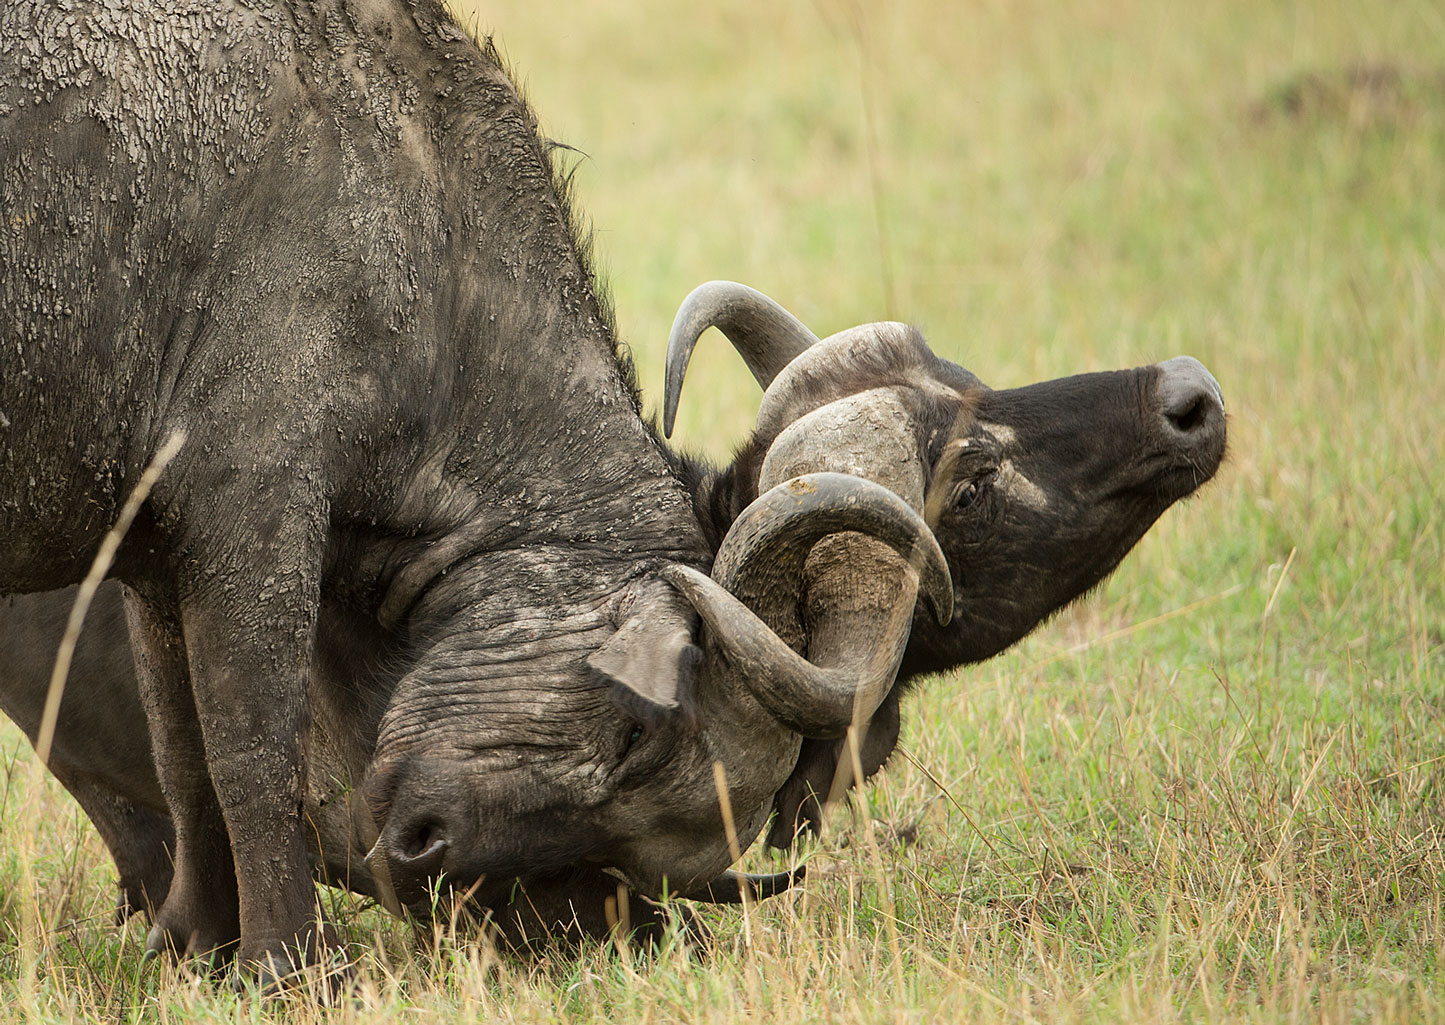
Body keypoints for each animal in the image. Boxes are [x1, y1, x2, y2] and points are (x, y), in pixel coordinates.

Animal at [2, 0, 959, 977]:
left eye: (623, 842)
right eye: (636, 734)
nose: (422, 848)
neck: (419, 228)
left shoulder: (150, 558)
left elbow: (185, 757)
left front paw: (193, 944)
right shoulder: (253, 518)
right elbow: (253, 753)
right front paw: (289, 963)